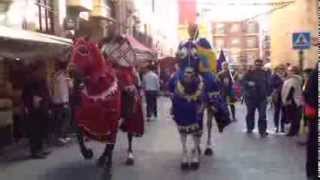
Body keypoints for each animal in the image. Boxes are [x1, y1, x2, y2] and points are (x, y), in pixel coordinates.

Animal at [168, 39, 230, 170]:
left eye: (196, 56)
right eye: (180, 55)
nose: (188, 74)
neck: (189, 90)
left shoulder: (198, 112)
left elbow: (197, 133)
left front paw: (195, 160)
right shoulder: (180, 116)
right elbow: (184, 137)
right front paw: (185, 161)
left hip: (210, 107)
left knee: (208, 126)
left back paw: (207, 148)